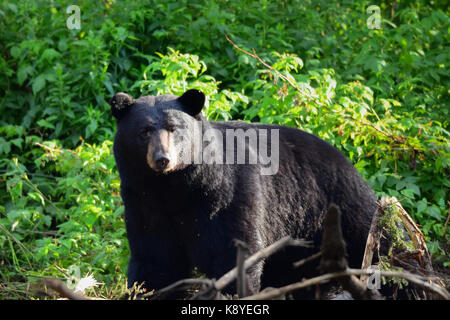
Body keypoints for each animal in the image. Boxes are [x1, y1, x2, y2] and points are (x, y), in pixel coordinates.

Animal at [110, 88, 376, 298]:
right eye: (144, 131)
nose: (162, 159)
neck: (173, 188)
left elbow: (232, 250)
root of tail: (349, 164)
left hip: (336, 207)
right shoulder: (143, 203)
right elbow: (156, 261)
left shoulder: (228, 197)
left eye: (174, 129)